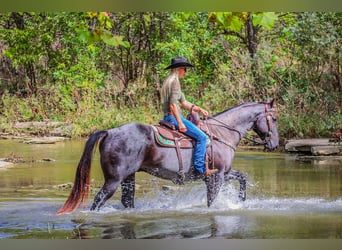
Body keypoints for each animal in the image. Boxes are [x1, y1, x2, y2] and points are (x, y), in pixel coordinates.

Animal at [57, 100, 280, 214]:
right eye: (275, 119)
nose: (275, 144)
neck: (222, 133)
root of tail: (110, 132)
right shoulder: (216, 177)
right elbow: (212, 201)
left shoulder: (225, 173)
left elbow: (243, 178)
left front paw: (241, 201)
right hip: (113, 180)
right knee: (98, 201)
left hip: (128, 177)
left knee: (127, 201)